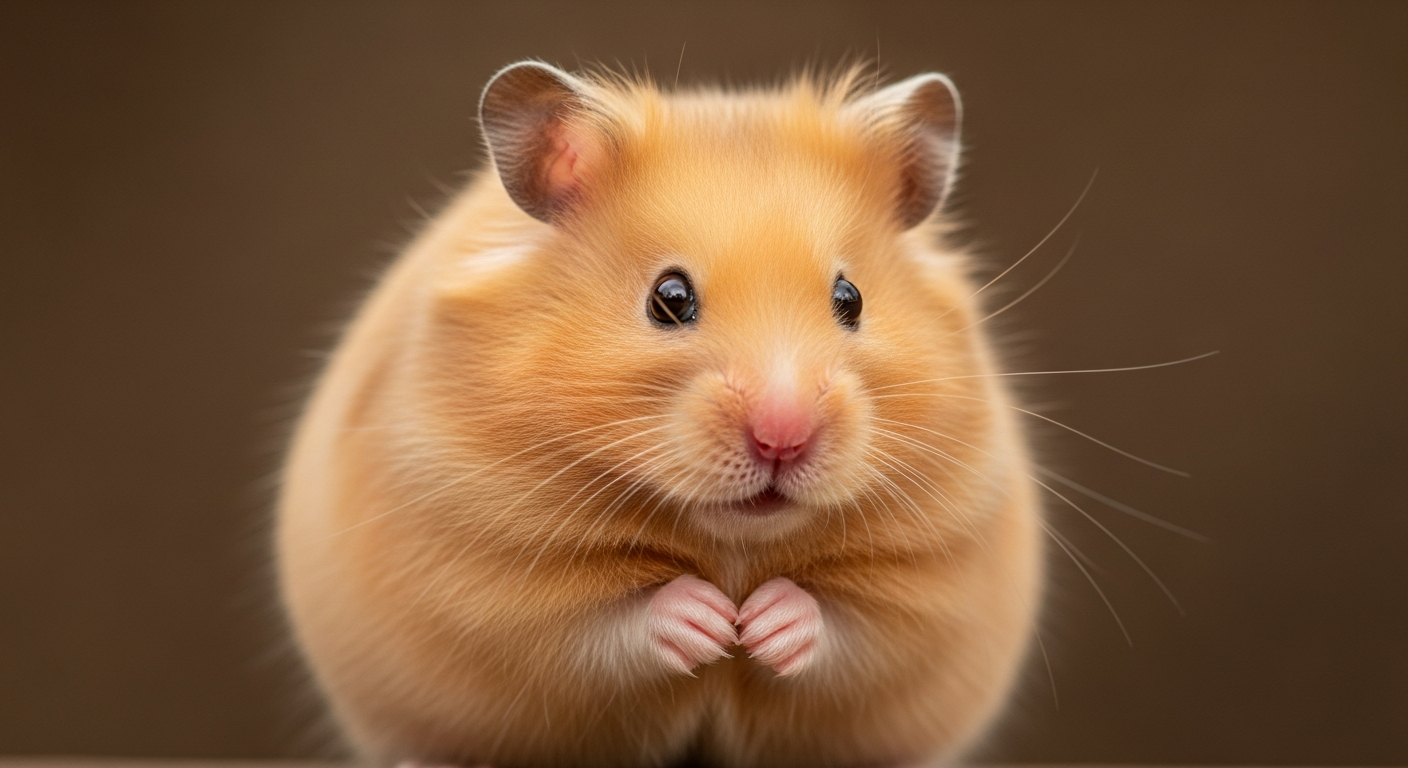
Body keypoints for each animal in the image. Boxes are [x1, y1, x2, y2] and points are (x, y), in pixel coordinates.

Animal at [276, 61, 1041, 768]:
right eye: (668, 298)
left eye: (850, 298)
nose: (783, 439)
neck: (733, 543)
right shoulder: (482, 575)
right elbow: (603, 624)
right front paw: (712, 622)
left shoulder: (937, 586)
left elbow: (848, 624)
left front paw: (761, 625)